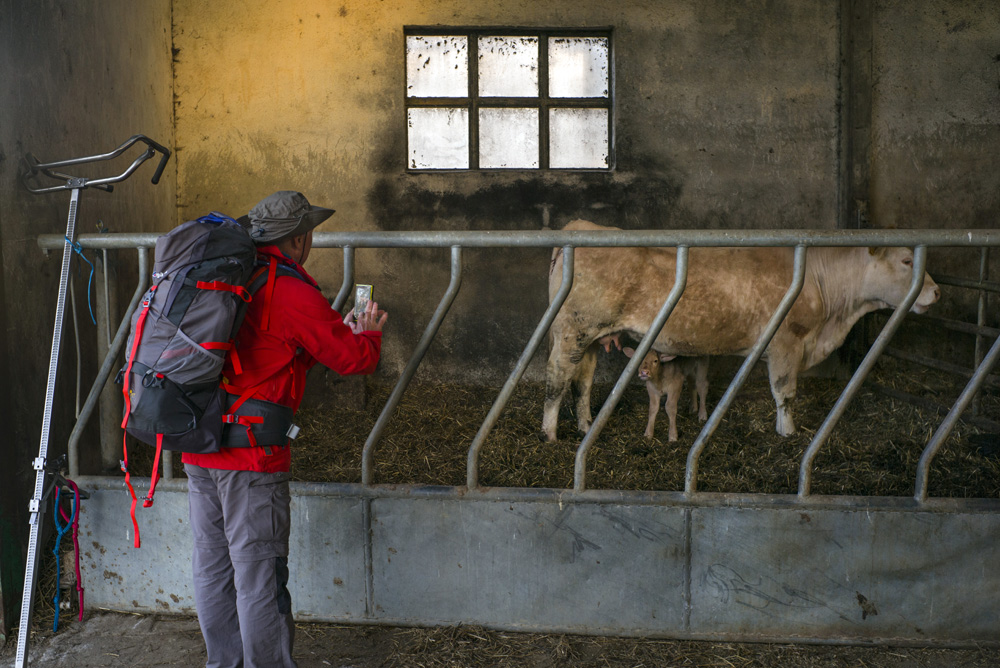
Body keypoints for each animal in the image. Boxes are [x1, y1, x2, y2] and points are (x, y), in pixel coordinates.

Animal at [544, 219, 940, 440]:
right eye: (907, 260)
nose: (937, 292)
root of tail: (581, 227)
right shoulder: (786, 342)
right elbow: (785, 392)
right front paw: (787, 433)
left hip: (590, 336)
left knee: (582, 381)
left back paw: (585, 426)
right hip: (571, 332)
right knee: (557, 379)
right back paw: (550, 434)